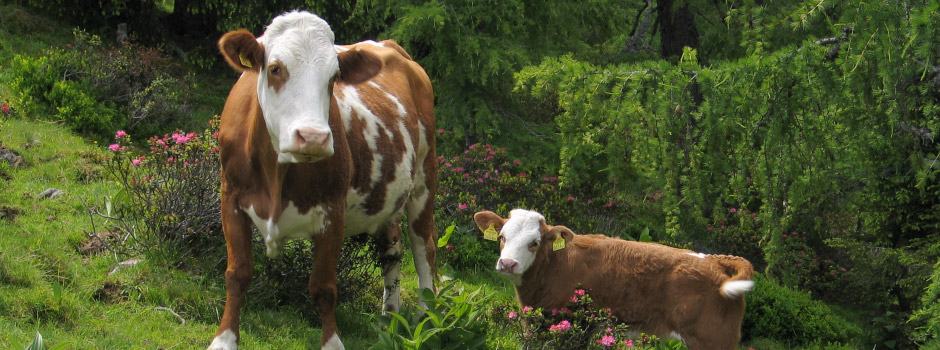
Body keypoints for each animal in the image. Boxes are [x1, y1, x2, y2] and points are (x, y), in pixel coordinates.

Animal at [209, 10, 436, 350]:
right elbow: (237, 273)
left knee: (424, 247)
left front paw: (332, 343)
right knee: (392, 248)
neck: (276, 172)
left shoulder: (333, 211)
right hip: (388, 192)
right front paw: (224, 339)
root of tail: (390, 45)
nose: (313, 137)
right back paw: (389, 318)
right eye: (275, 68)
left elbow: (324, 287)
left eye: (333, 77)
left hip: (425, 178)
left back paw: (430, 318)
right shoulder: (230, 198)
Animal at [474, 209, 752, 348]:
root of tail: (714, 260)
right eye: (502, 237)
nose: (508, 263)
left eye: (534, 242)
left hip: (713, 340)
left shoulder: (573, 325)